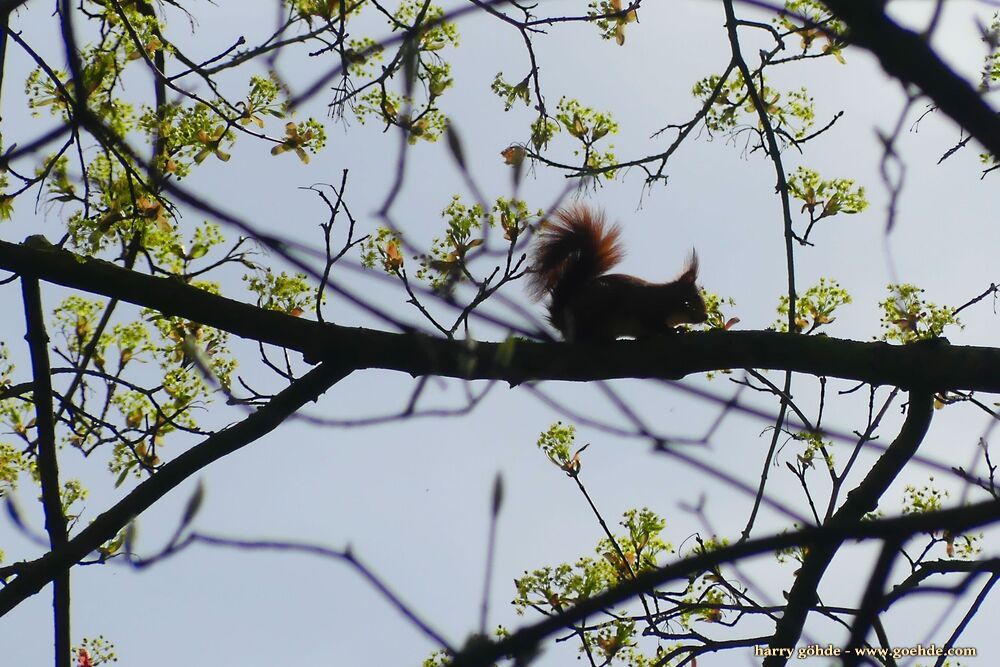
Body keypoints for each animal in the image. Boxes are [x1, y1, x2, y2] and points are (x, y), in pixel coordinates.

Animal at [528, 204, 708, 342]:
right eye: (694, 298)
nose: (705, 316)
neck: (667, 297)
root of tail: (563, 319)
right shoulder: (647, 307)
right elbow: (654, 323)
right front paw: (672, 331)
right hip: (597, 303)